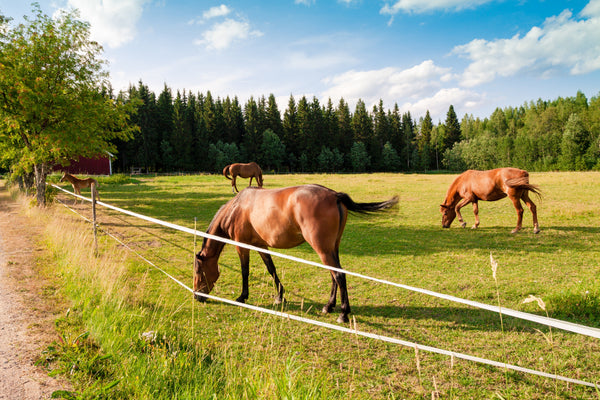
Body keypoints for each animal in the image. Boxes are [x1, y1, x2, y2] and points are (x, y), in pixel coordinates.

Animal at [193, 184, 398, 322]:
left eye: (198, 271)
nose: (197, 296)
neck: (238, 208)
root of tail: (335, 196)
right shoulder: (261, 245)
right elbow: (271, 269)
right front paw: (279, 296)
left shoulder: (241, 246)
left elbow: (245, 271)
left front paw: (243, 297)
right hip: (332, 248)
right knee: (334, 275)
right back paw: (329, 306)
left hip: (323, 249)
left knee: (338, 275)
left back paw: (343, 314)